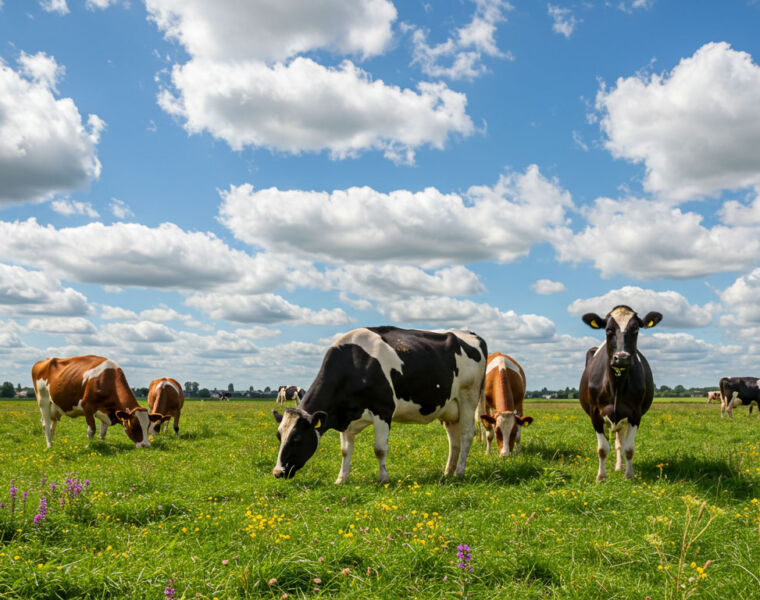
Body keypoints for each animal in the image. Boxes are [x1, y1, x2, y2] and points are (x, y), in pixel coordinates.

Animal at [32, 355, 163, 449]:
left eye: (148, 425)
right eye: (135, 426)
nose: (146, 445)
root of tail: (42, 362)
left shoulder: (106, 411)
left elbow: (103, 432)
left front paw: (102, 444)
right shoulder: (88, 407)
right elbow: (92, 430)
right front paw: (89, 446)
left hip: (55, 407)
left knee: (52, 424)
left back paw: (52, 442)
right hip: (43, 401)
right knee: (46, 423)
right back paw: (49, 446)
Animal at [271, 326, 487, 483]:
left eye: (297, 437)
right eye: (279, 436)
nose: (277, 472)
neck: (355, 364)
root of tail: (471, 334)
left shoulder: (383, 411)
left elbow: (379, 449)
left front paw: (383, 478)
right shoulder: (344, 416)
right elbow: (345, 451)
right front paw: (341, 479)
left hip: (468, 397)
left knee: (467, 434)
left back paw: (460, 472)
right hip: (449, 408)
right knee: (454, 440)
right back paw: (447, 472)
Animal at [579, 305, 662, 481]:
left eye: (636, 329)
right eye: (608, 329)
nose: (622, 357)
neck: (616, 385)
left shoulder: (635, 414)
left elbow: (628, 448)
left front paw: (629, 475)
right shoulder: (595, 414)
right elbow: (602, 449)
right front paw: (601, 477)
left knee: (619, 444)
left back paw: (619, 467)